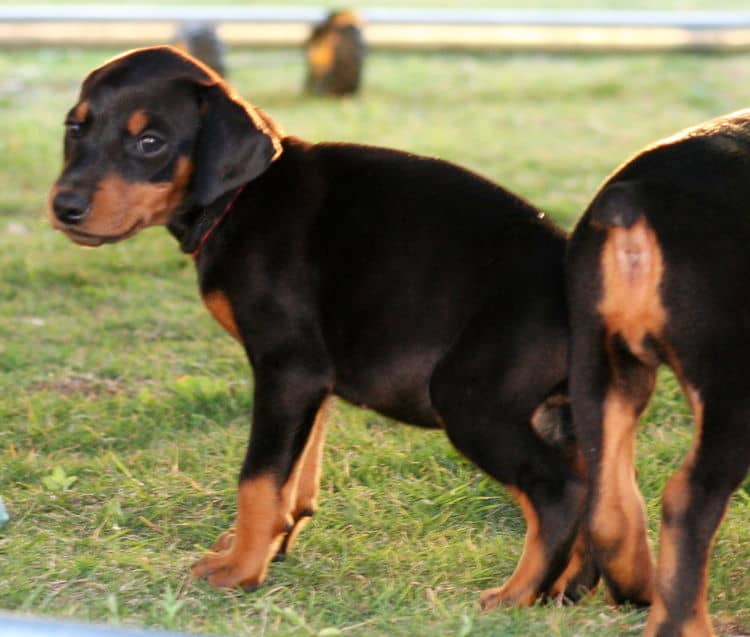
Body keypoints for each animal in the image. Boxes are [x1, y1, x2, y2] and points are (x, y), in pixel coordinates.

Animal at [50, 46, 596, 608]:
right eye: (75, 128)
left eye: (150, 142)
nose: (64, 207)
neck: (240, 200)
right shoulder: (314, 381)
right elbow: (296, 477)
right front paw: (273, 543)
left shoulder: (286, 369)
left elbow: (258, 479)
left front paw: (241, 568)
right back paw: (567, 588)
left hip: (472, 402)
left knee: (559, 492)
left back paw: (516, 594)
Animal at [568, 112, 750, 632]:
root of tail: (635, 200)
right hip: (729, 385)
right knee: (687, 501)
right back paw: (683, 625)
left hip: (599, 366)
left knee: (607, 506)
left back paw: (635, 588)